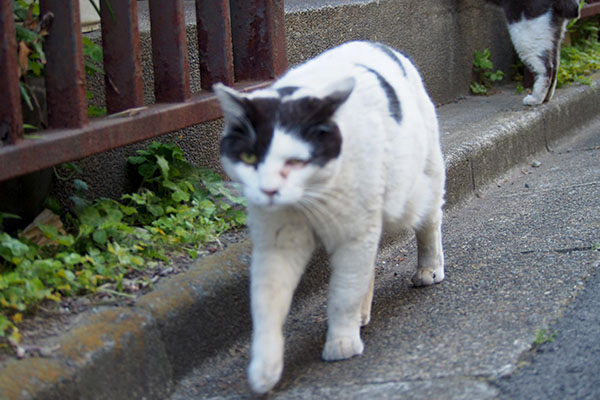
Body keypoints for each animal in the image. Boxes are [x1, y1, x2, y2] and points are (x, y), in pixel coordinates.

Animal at [214, 40, 446, 394]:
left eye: (295, 161)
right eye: (250, 157)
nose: (268, 190)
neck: (308, 199)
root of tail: (379, 43)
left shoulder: (354, 233)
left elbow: (343, 293)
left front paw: (341, 343)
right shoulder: (276, 244)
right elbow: (267, 303)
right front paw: (264, 370)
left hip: (415, 187)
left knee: (429, 220)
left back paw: (428, 269)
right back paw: (364, 311)